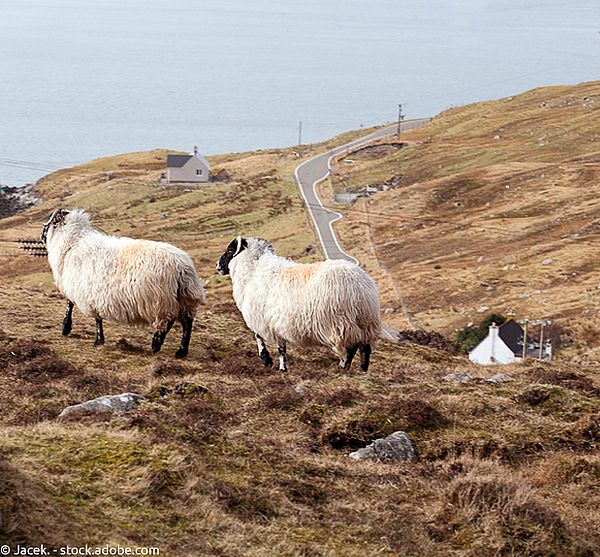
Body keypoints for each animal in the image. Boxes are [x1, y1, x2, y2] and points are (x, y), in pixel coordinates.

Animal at [41, 207, 206, 356]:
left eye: (48, 224)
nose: (41, 236)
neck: (72, 242)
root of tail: (183, 268)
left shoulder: (82, 291)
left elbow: (78, 309)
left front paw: (77, 332)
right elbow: (88, 314)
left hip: (162, 300)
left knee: (169, 322)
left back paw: (156, 343)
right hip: (184, 299)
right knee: (187, 323)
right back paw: (181, 351)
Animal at [218, 235, 382, 370]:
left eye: (230, 250)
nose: (218, 266)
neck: (253, 270)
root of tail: (360, 286)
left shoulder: (259, 318)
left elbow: (260, 338)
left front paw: (267, 360)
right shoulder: (275, 322)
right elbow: (281, 348)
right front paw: (283, 368)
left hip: (342, 324)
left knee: (351, 348)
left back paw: (342, 367)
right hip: (365, 323)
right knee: (365, 348)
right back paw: (362, 368)